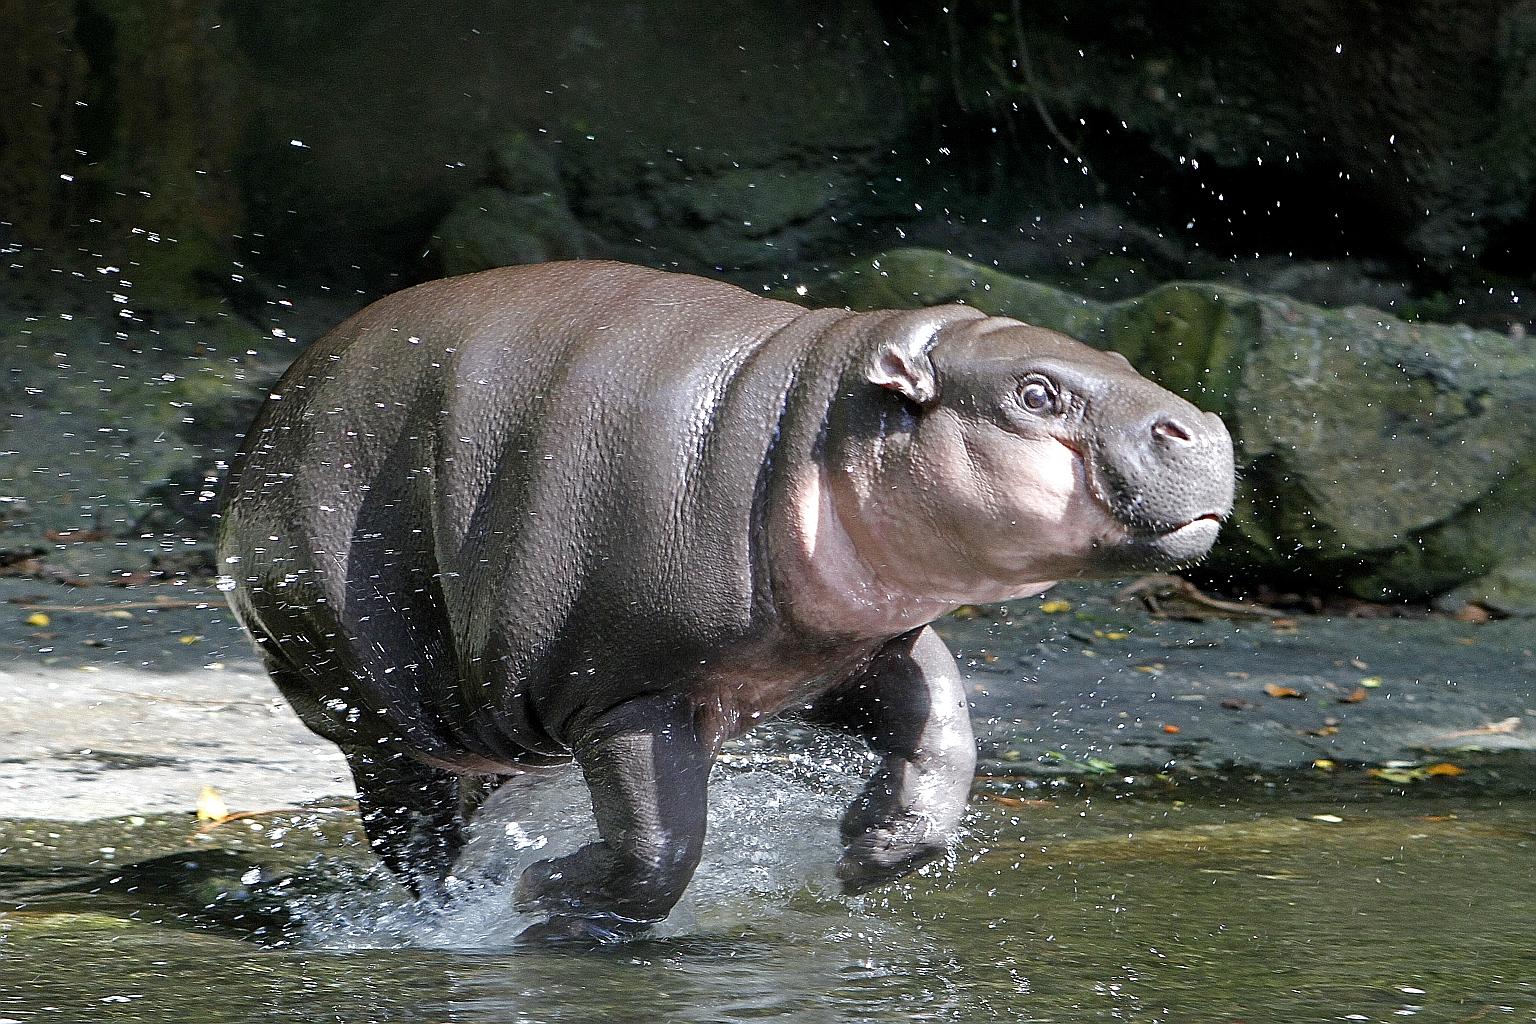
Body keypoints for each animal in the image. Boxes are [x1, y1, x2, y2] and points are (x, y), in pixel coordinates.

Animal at [218, 261, 1234, 941]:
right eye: (1036, 392)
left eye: (1116, 352)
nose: (1205, 424)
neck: (812, 423)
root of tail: (266, 425)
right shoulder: (631, 693)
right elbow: (660, 844)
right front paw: (547, 903)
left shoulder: (856, 644)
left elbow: (943, 729)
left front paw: (870, 856)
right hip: (374, 721)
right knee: (414, 839)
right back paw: (446, 921)